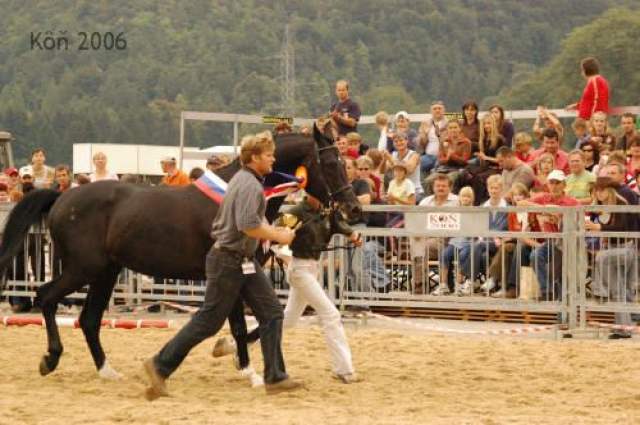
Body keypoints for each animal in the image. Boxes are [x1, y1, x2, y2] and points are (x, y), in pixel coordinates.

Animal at [0, 121, 361, 379]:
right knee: (46, 297)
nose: (354, 209)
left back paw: (107, 371)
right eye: (330, 163)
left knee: (89, 319)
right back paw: (51, 359)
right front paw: (250, 372)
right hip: (84, 269)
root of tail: (62, 197)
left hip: (106, 272)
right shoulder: (233, 273)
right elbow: (237, 324)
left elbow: (248, 322)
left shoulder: (243, 274)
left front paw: (241, 362)